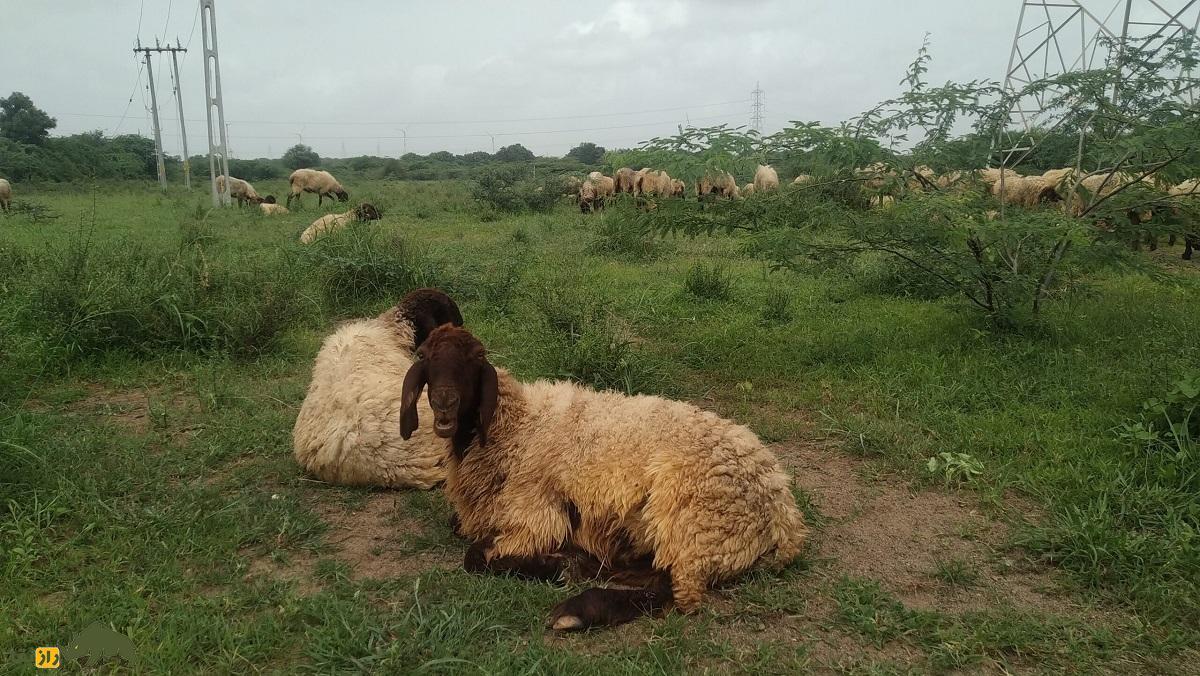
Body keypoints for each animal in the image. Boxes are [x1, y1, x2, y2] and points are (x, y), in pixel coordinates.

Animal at [400, 324, 806, 633]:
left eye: (476, 359)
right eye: (426, 358)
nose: (445, 405)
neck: (516, 426)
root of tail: (783, 508)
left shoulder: (534, 514)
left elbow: (475, 557)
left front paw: (552, 565)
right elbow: (459, 528)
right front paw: (563, 561)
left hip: (692, 519)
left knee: (674, 590)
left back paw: (576, 608)